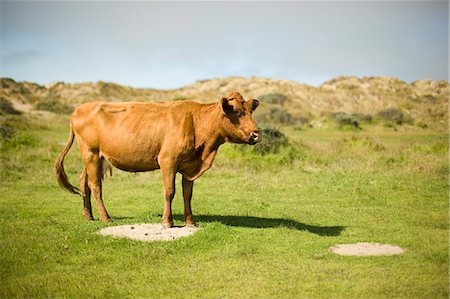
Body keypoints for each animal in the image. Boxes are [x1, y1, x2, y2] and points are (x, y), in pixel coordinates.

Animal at [55, 91, 260, 227]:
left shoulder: (189, 166)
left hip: (95, 157)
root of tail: (80, 108)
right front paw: (167, 222)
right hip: (91, 153)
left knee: (84, 181)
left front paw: (190, 222)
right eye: (237, 112)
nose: (257, 133)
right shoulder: (168, 161)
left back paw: (88, 216)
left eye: (250, 111)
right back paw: (105, 217)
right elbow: (169, 191)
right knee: (95, 185)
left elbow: (187, 194)